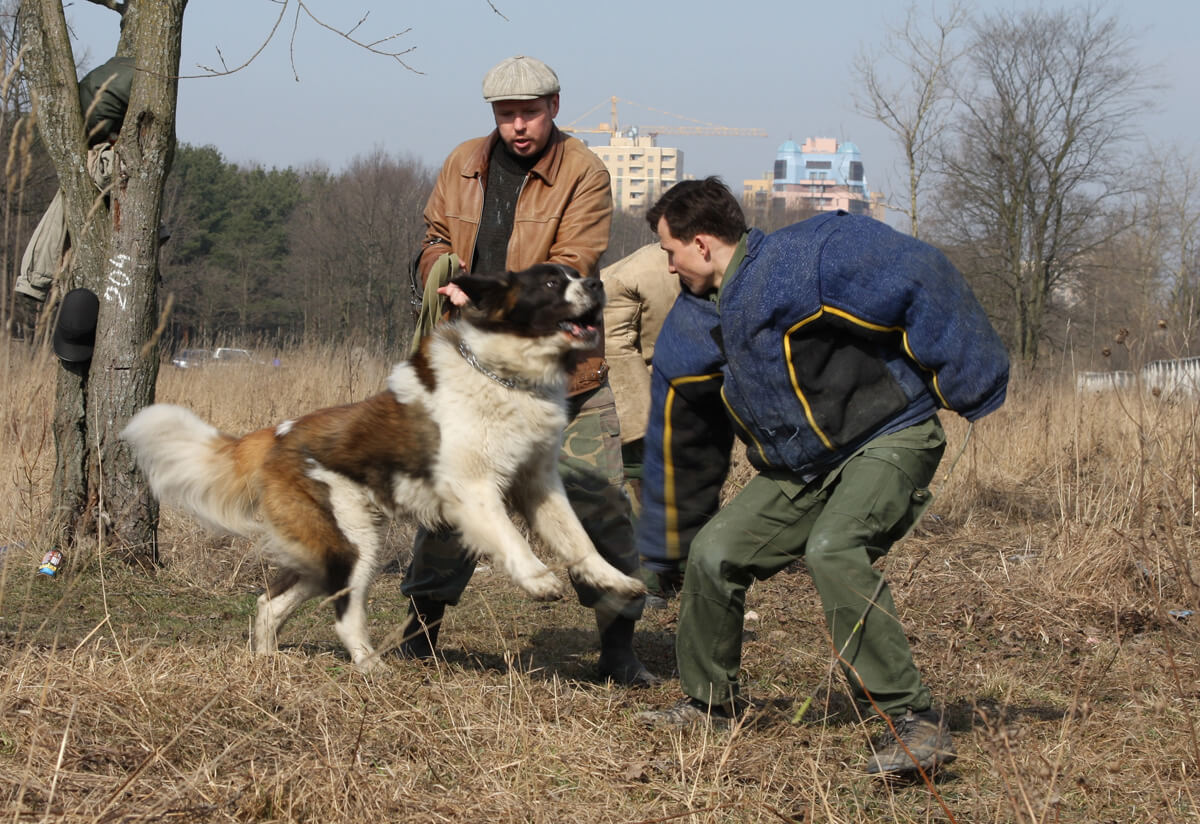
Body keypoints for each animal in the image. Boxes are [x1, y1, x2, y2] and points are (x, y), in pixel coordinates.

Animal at [123, 267, 648, 671]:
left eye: (575, 273)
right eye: (551, 282)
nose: (597, 283)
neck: (508, 377)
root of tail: (277, 435)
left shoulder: (538, 484)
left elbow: (578, 539)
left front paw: (614, 580)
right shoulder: (473, 489)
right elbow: (509, 536)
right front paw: (538, 580)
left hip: (328, 552)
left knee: (271, 603)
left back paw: (268, 660)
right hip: (355, 545)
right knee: (344, 611)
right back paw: (370, 664)